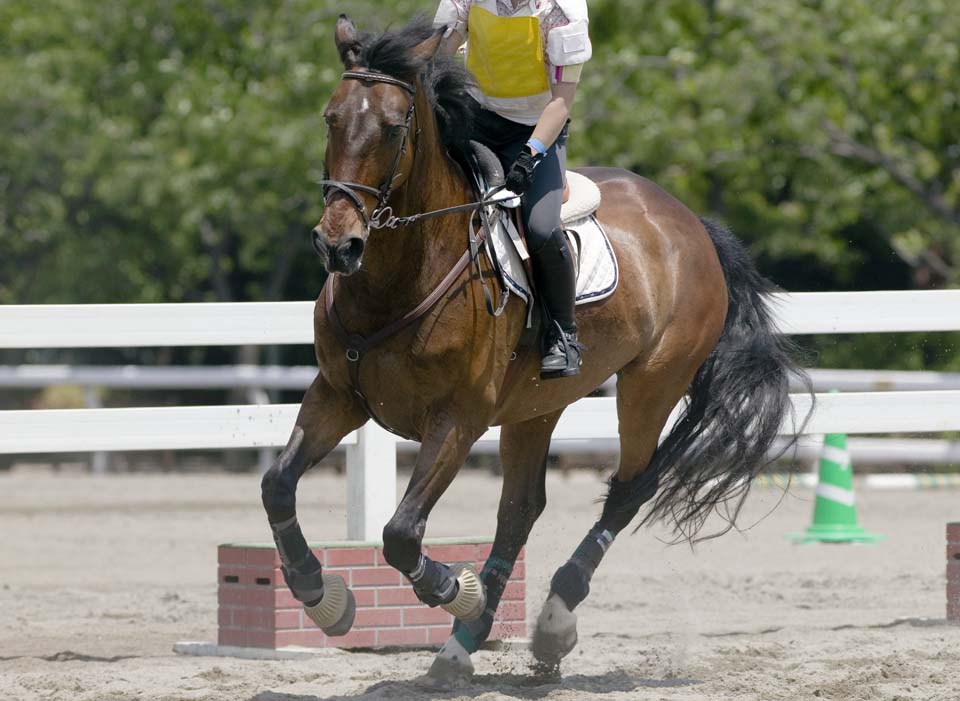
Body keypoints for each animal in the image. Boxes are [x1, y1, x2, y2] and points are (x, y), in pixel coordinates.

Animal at [258, 12, 808, 680]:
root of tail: (691, 223)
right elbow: (278, 484)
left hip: (652, 383)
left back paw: (549, 623)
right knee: (520, 510)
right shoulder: (340, 395)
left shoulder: (458, 418)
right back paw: (459, 648)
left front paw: (455, 589)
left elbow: (402, 532)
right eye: (330, 117)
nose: (338, 245)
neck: (400, 275)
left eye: (393, 128)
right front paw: (321, 594)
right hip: (535, 407)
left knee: (630, 487)